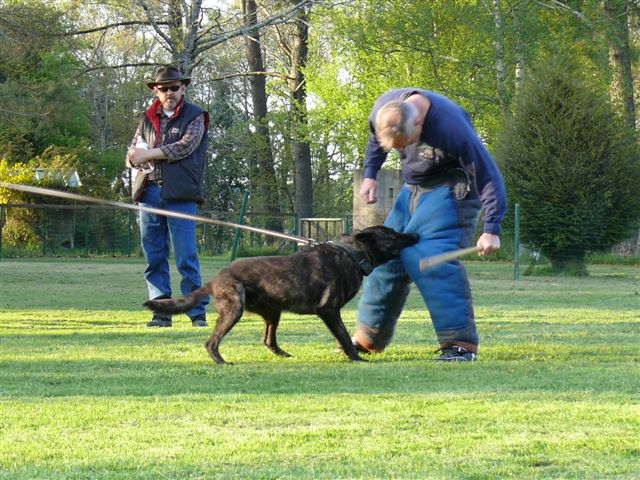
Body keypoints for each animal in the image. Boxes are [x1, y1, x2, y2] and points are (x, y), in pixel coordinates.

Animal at [144, 225, 420, 364]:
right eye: (393, 235)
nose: (415, 234)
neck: (354, 254)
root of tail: (217, 278)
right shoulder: (329, 310)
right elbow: (342, 336)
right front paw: (355, 358)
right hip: (234, 310)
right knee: (211, 342)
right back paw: (221, 361)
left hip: (272, 314)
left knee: (268, 340)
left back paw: (285, 355)